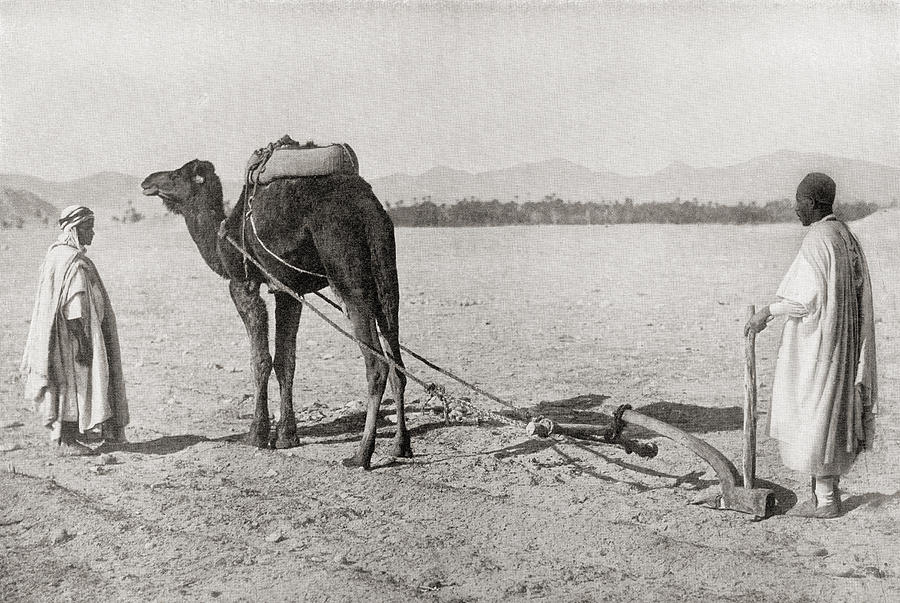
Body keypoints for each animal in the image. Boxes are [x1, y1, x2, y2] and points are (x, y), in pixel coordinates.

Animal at [140, 158, 410, 469]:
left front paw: (256, 434)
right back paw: (400, 445)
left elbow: (260, 360)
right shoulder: (287, 290)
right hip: (385, 271)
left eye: (175, 175)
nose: (147, 181)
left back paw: (361, 454)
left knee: (377, 364)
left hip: (346, 271)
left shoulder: (242, 284)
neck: (223, 239)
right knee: (396, 360)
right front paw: (286, 436)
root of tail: (368, 209)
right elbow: (285, 361)